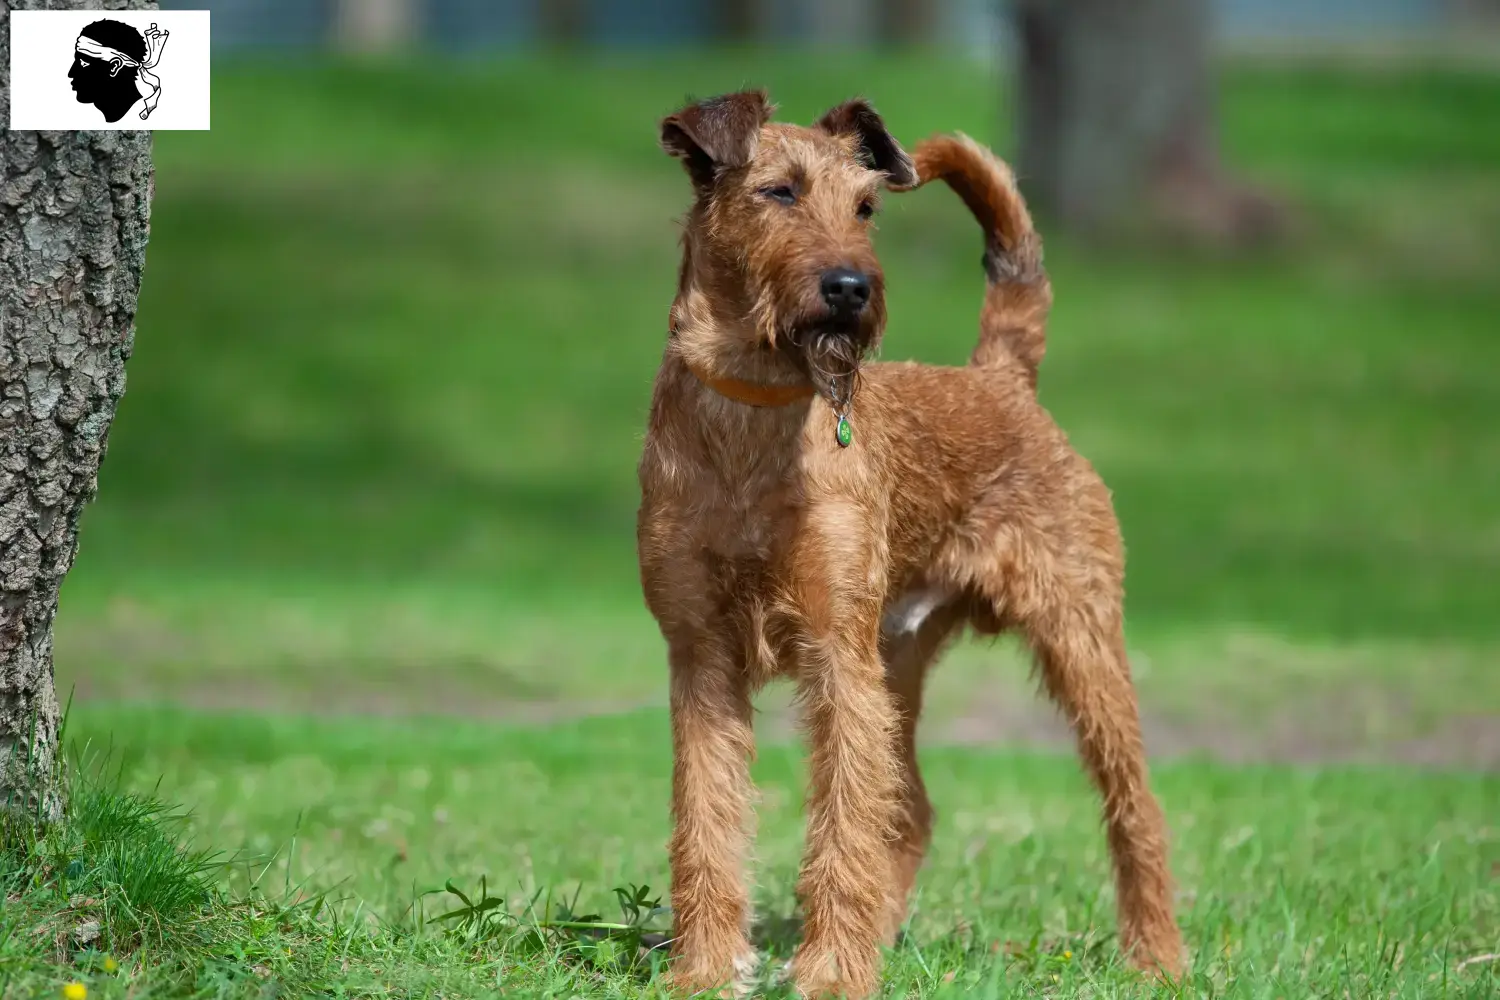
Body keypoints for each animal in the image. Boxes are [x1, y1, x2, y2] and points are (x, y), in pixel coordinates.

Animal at [633, 89, 1182, 995]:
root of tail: (1001, 378)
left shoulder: (836, 655)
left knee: (1135, 805)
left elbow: (841, 823)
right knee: (913, 807)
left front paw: (830, 974)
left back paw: (1158, 956)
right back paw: (880, 937)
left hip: (1081, 639)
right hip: (902, 659)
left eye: (865, 209)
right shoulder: (701, 655)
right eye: (779, 192)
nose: (852, 287)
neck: (753, 411)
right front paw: (708, 968)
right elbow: (707, 821)